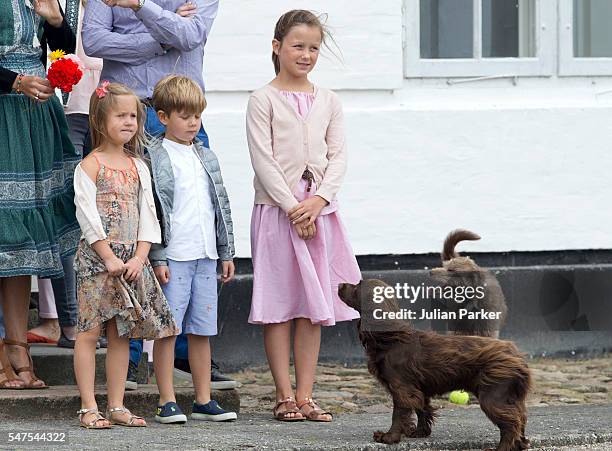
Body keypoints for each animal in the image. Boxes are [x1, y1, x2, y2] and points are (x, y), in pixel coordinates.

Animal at [338, 280, 532, 450]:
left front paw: (389, 437)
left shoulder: (402, 388)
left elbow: (398, 414)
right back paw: (521, 444)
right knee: (520, 417)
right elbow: (422, 409)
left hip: (493, 397)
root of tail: (517, 356)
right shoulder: (418, 388)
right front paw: (419, 432)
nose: (339, 284)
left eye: (358, 285)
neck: (390, 338)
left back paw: (501, 448)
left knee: (512, 423)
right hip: (510, 396)